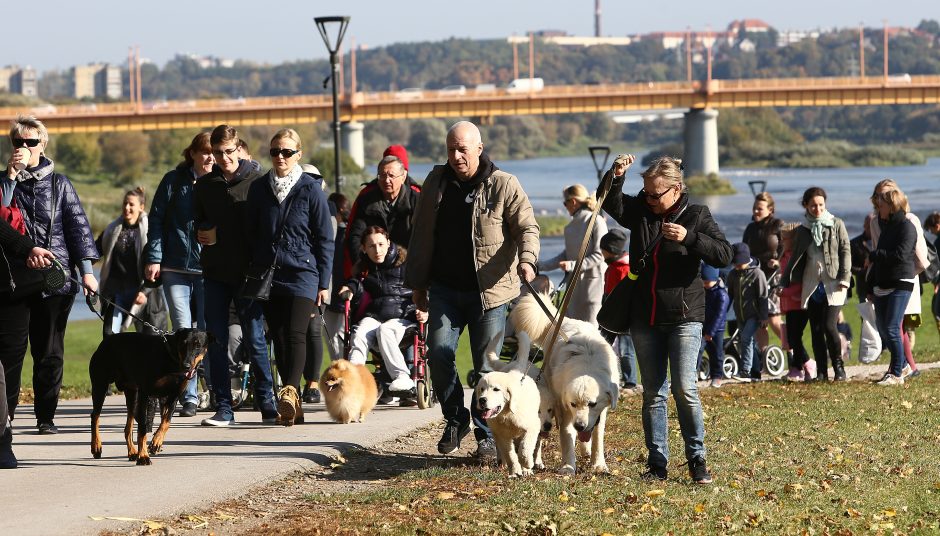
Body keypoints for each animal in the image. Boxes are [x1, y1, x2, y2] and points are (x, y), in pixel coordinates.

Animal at [478, 336, 544, 478]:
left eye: (496, 389)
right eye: (481, 389)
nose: (482, 400)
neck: (506, 414)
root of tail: (515, 367)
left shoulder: (533, 427)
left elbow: (525, 448)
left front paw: (527, 464)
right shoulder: (502, 436)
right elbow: (510, 455)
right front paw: (514, 471)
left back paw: (526, 470)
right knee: (502, 451)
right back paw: (503, 464)